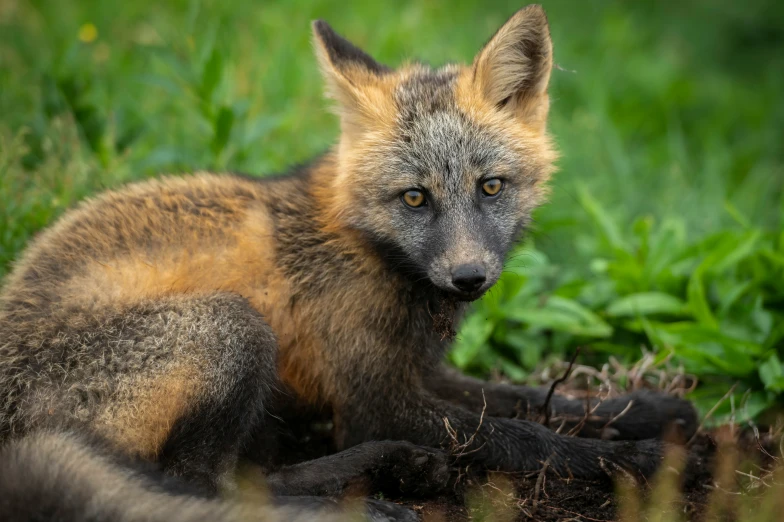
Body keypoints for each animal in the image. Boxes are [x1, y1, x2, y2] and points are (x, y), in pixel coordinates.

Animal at [0, 5, 700, 520]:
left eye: (490, 187)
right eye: (415, 197)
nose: (468, 278)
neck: (370, 250)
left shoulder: (415, 367)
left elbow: (528, 399)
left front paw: (646, 410)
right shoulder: (375, 400)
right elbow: (525, 437)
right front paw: (647, 461)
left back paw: (399, 471)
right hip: (233, 326)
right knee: (209, 486)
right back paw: (374, 495)